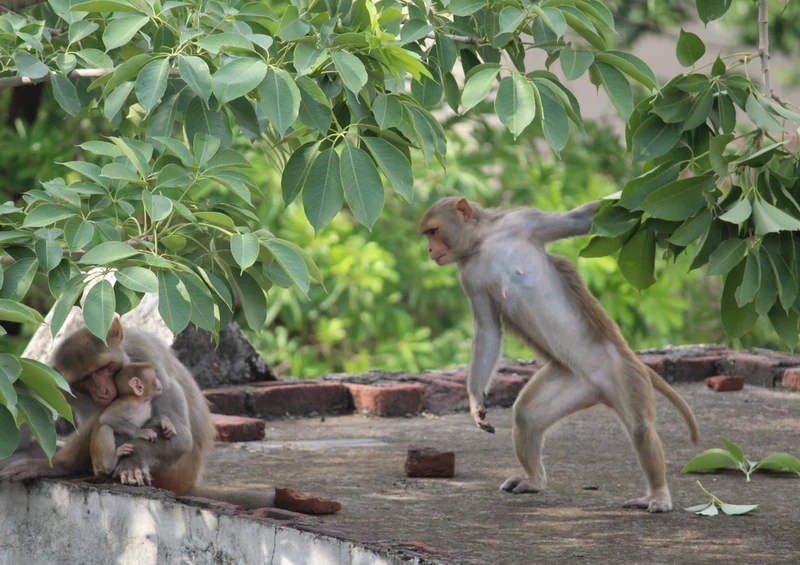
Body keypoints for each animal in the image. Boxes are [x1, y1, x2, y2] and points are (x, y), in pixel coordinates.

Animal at [418, 197, 699, 513]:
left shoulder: (523, 220)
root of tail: (599, 389)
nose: (430, 250)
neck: (483, 243)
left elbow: (581, 220)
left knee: (640, 429)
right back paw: (534, 479)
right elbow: (488, 330)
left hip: (625, 371)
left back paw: (658, 494)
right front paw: (475, 400)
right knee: (527, 416)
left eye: (433, 231)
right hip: (572, 380)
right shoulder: (469, 275)